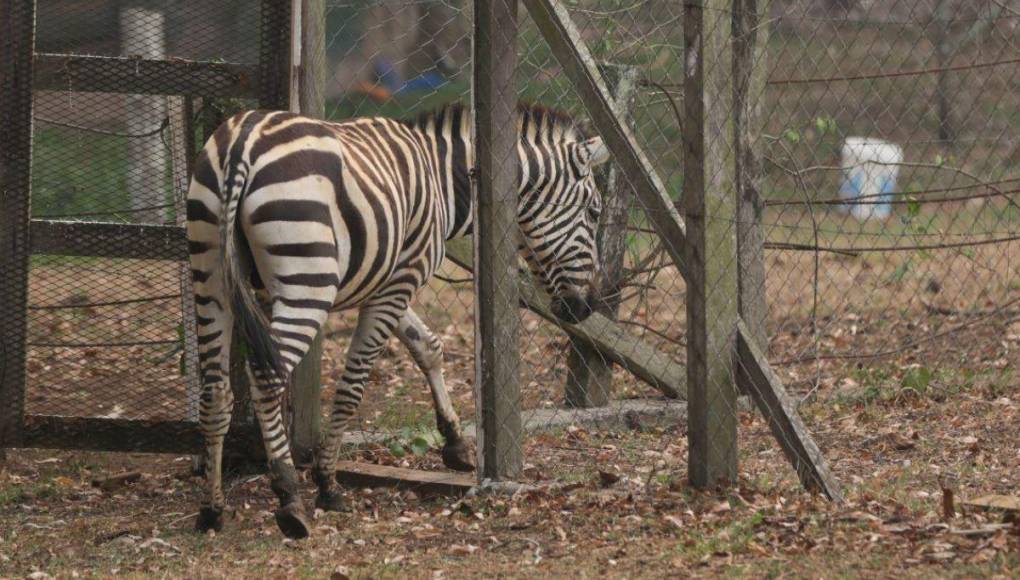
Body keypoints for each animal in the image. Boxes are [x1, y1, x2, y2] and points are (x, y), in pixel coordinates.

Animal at [187, 100, 607, 538]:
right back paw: (289, 498)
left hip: (209, 271)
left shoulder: (392, 279)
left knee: (215, 390)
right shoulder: (399, 281)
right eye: (595, 213)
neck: (446, 180)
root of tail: (242, 144)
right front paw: (327, 481)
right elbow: (353, 385)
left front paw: (455, 443)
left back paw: (212, 509)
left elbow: (429, 347)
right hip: (307, 282)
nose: (587, 307)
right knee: (267, 379)